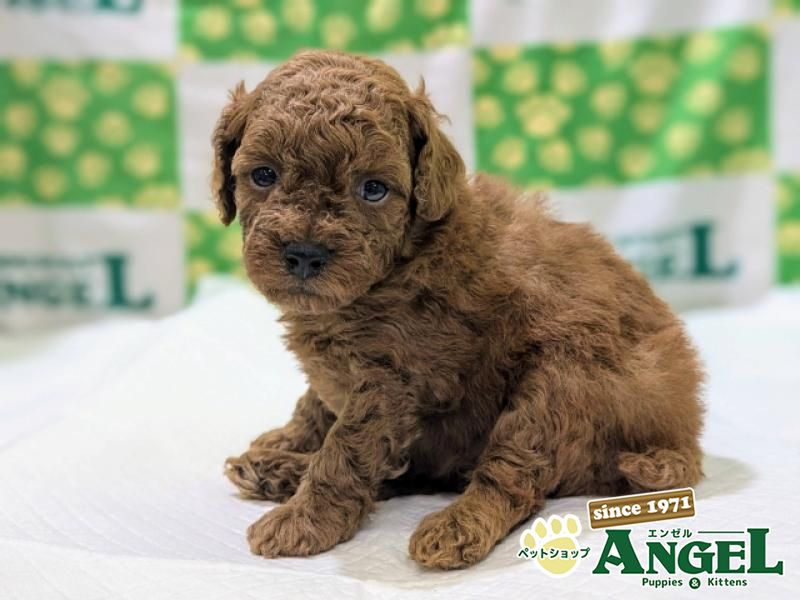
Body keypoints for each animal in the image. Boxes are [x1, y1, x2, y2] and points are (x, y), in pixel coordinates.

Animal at [219, 50, 704, 569]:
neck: (401, 259)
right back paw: (276, 468)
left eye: (373, 189)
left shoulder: (392, 380)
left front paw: (304, 519)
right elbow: (314, 403)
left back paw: (454, 526)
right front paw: (286, 440)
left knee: (512, 478)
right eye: (264, 175)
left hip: (565, 379)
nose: (305, 254)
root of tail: (682, 434)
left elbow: (346, 450)